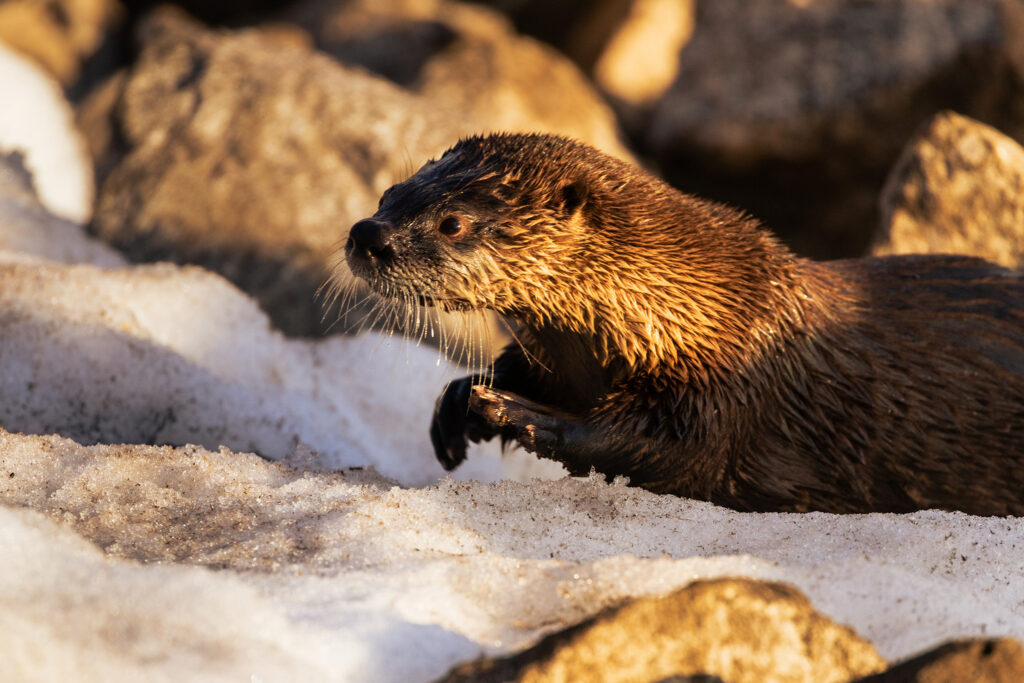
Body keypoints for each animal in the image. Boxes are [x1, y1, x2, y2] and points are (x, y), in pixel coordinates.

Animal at [341, 133, 1024, 515]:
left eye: (453, 223)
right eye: (390, 193)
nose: (367, 235)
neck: (694, 309)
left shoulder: (729, 383)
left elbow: (667, 450)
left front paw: (510, 411)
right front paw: (458, 402)